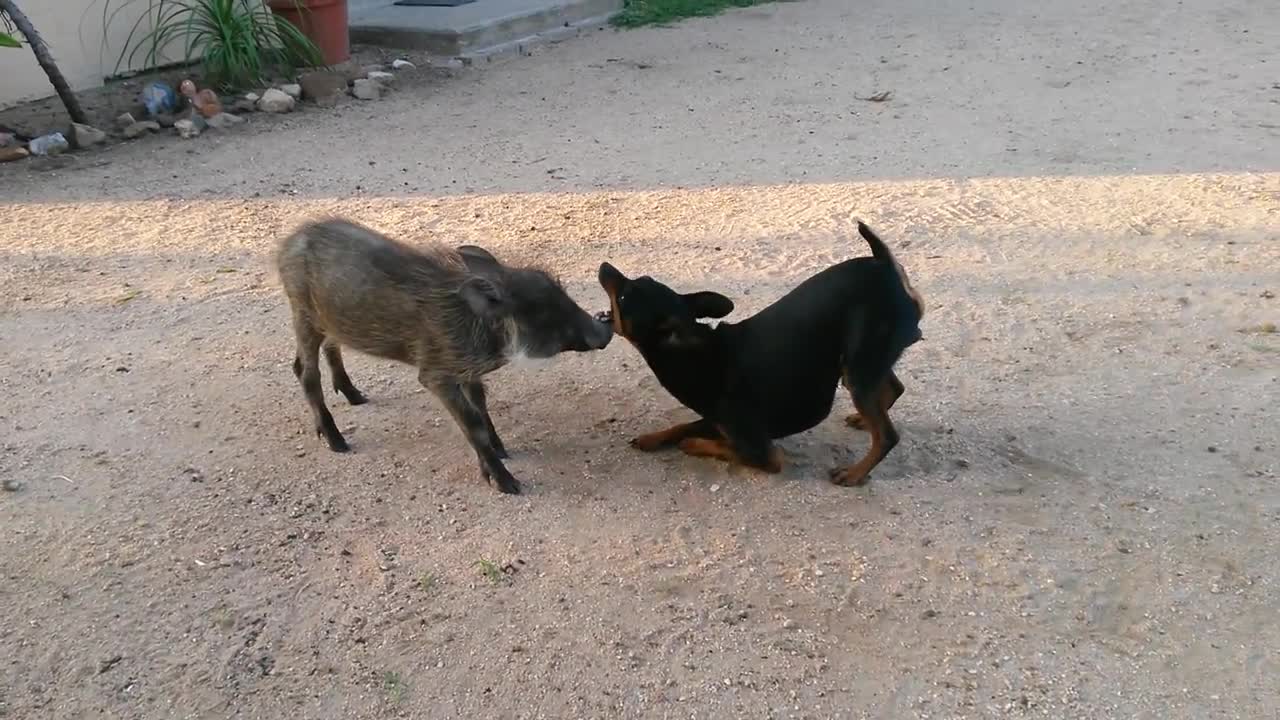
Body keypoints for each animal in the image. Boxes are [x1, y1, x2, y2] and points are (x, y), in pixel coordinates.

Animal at [593, 221, 926, 484]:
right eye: (643, 278)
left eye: (623, 297)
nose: (605, 265)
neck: (698, 354)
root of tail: (886, 267)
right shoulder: (716, 419)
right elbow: (683, 425)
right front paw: (653, 438)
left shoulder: (764, 453)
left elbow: (718, 445)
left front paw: (691, 444)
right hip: (861, 360)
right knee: (894, 388)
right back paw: (862, 421)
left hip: (859, 366)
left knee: (887, 435)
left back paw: (855, 473)